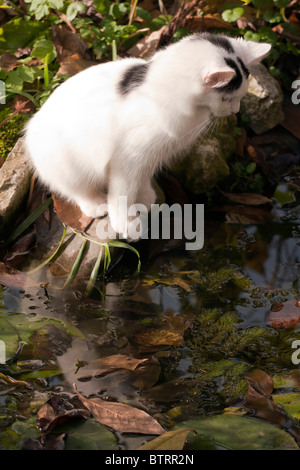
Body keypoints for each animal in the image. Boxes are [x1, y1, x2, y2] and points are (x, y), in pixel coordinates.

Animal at [24, 34, 270, 239]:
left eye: (241, 97)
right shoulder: (128, 159)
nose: (235, 110)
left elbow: (141, 180)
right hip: (71, 167)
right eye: (227, 99)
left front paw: (144, 198)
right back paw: (96, 205)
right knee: (77, 190)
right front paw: (126, 225)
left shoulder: (150, 156)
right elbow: (122, 193)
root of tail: (30, 132)